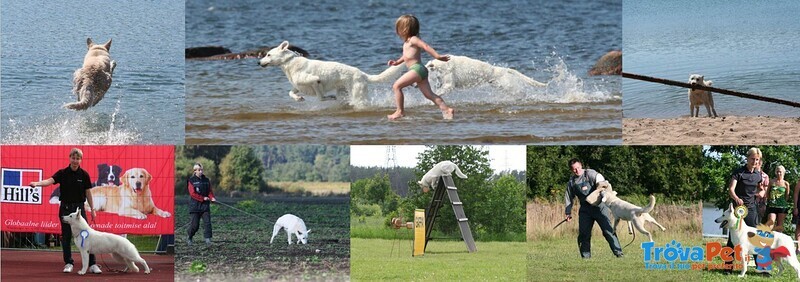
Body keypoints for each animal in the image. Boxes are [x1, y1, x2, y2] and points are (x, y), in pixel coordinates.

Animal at [258, 40, 404, 108]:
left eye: (268, 54)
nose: (259, 63)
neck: (289, 62)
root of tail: (362, 74)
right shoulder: (298, 86)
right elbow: (291, 92)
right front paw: (298, 99)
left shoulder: (313, 81)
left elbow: (320, 95)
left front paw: (327, 97)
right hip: (343, 92)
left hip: (358, 94)